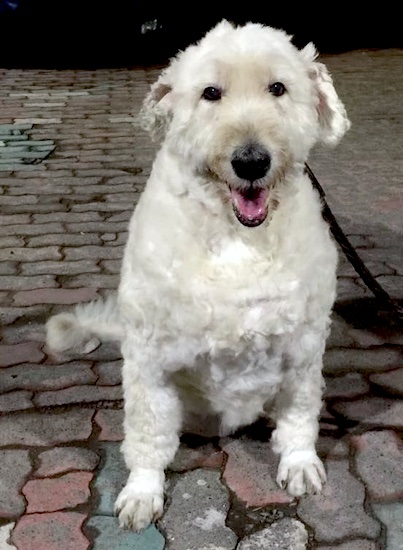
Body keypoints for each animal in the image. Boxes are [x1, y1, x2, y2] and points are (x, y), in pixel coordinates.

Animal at [46, 19, 350, 532]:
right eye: (211, 92)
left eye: (278, 88)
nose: (251, 161)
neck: (235, 237)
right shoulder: (150, 360)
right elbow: (147, 436)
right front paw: (143, 491)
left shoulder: (303, 349)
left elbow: (300, 415)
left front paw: (299, 462)